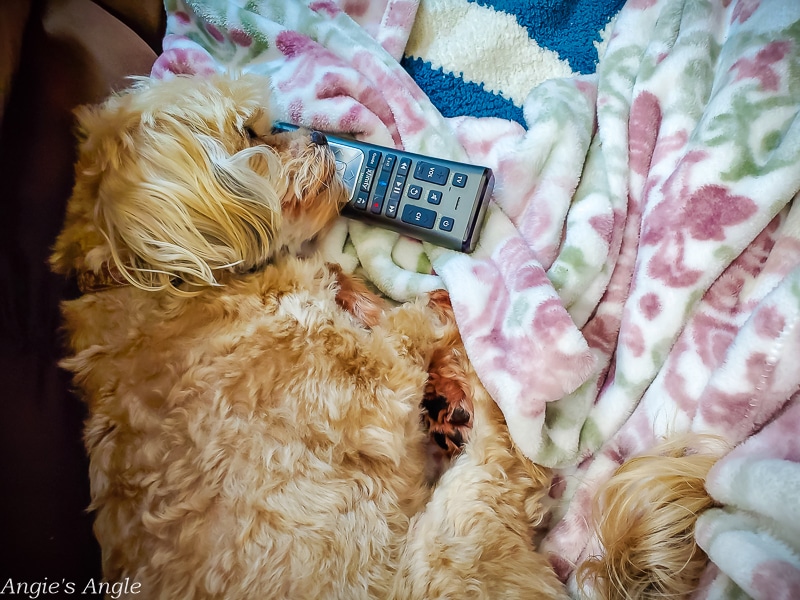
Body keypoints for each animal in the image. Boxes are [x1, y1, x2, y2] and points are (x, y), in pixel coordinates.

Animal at [50, 75, 568, 600]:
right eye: (249, 131)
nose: (322, 137)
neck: (150, 279)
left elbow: (348, 284)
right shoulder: (371, 382)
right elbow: (409, 323)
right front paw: (443, 317)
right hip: (448, 547)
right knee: (510, 462)